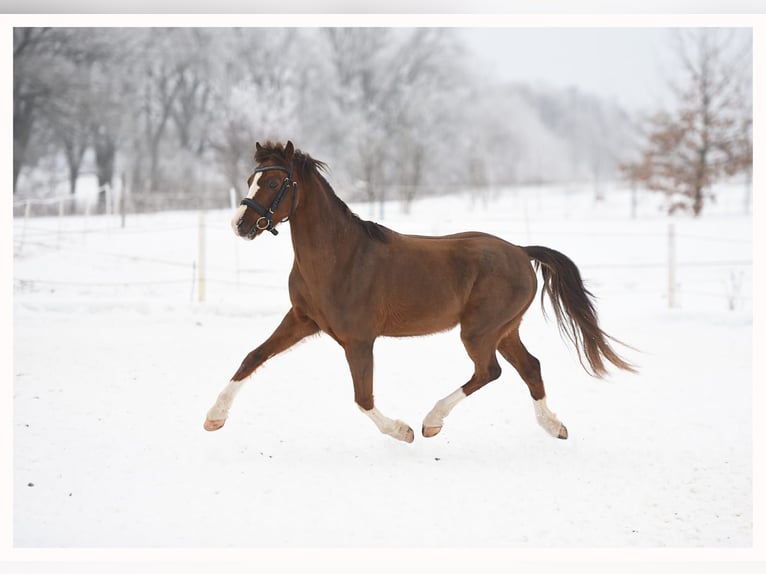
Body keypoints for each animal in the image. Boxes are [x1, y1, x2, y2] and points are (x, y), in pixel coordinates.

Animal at [204, 140, 635, 443]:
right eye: (251, 179)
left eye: (275, 182)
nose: (240, 225)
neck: (339, 257)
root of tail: (520, 251)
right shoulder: (302, 320)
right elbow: (252, 357)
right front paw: (214, 418)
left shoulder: (358, 340)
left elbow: (363, 398)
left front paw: (403, 431)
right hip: (504, 330)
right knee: (530, 367)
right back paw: (553, 427)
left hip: (479, 331)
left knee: (489, 371)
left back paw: (431, 422)